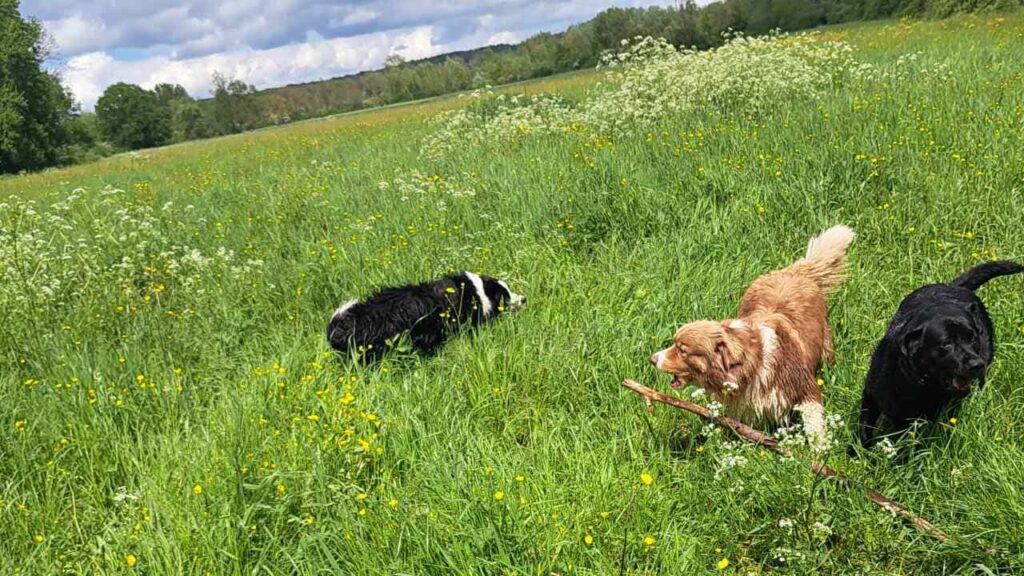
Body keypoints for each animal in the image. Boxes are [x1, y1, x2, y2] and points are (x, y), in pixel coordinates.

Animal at [651, 225, 851, 444]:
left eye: (682, 350)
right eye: (674, 344)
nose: (653, 359)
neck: (753, 366)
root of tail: (794, 270)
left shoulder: (804, 388)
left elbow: (814, 425)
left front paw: (819, 450)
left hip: (825, 348)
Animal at [856, 258, 1024, 446]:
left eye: (972, 337)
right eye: (946, 344)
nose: (976, 364)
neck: (915, 382)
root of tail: (955, 286)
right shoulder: (870, 396)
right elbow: (864, 428)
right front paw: (858, 450)